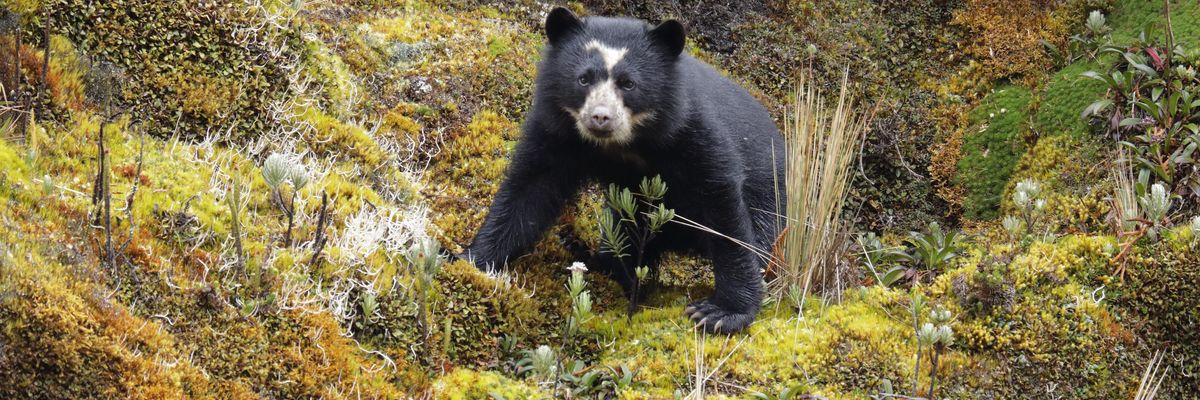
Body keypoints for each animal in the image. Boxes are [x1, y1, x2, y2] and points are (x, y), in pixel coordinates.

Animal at [460, 7, 785, 334]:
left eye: (629, 83)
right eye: (583, 79)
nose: (600, 117)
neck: (627, 143)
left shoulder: (693, 130)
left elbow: (722, 207)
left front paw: (719, 312)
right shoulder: (558, 132)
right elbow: (530, 190)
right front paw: (470, 259)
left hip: (774, 197)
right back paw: (602, 263)